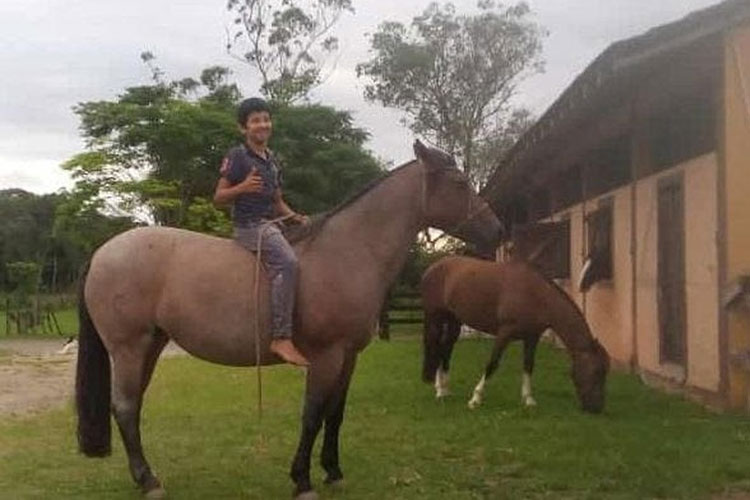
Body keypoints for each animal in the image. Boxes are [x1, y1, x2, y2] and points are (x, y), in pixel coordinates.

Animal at [75, 140, 504, 499]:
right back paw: (148, 480)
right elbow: (312, 415)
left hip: (151, 346)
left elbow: (335, 413)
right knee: (125, 407)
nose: (498, 230)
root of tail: (102, 253)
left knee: (131, 406)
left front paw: (333, 470)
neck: (348, 252)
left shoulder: (349, 357)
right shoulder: (326, 356)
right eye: (459, 182)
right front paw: (302, 480)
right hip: (128, 349)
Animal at [420, 255, 610, 413]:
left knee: (445, 349)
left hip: (454, 321)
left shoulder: (532, 338)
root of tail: (433, 267)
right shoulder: (504, 333)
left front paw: (528, 400)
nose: (596, 408)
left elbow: (528, 366)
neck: (536, 295)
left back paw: (445, 389)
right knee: (437, 347)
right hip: (436, 318)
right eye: (596, 372)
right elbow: (492, 364)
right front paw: (475, 399)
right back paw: (439, 391)